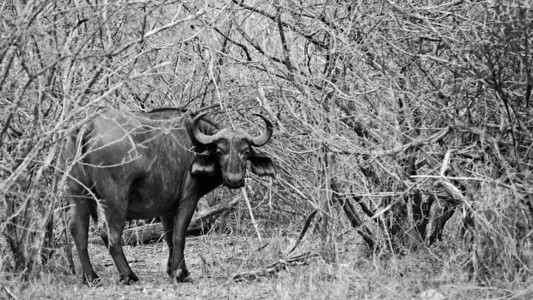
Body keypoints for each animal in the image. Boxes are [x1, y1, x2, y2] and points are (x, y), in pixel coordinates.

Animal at [63, 107, 274, 284]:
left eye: (245, 152)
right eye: (220, 151)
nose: (235, 179)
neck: (193, 143)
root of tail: (90, 125)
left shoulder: (165, 208)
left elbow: (169, 237)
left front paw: (172, 270)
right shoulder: (188, 200)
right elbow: (179, 236)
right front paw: (181, 273)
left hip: (78, 196)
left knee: (78, 231)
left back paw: (90, 277)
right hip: (115, 200)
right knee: (111, 235)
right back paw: (128, 275)